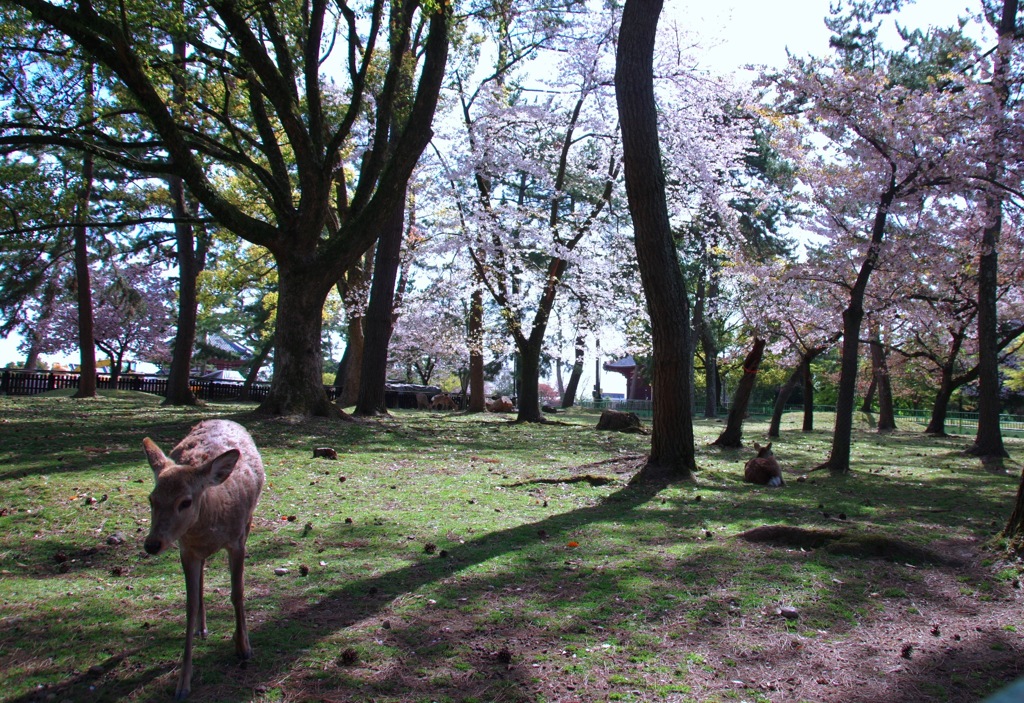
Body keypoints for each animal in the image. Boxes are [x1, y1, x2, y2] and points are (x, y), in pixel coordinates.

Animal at [142, 421, 266, 699]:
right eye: (151, 499)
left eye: (185, 501)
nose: (152, 544)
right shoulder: (186, 550)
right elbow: (189, 606)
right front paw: (182, 684)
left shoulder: (237, 540)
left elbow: (237, 593)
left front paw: (243, 647)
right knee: (200, 579)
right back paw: (202, 627)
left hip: (249, 522)